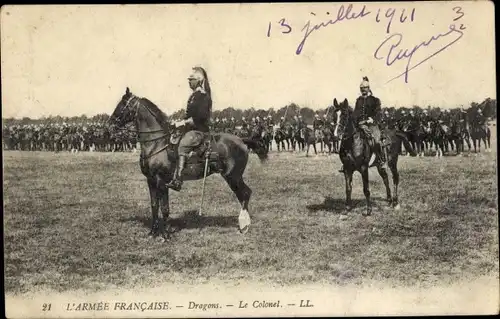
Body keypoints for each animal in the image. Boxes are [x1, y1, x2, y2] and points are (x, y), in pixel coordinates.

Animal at [107, 87, 268, 240]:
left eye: (123, 105)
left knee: (245, 193)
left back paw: (244, 224)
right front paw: (153, 232)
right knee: (243, 195)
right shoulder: (150, 180)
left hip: (233, 176)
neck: (157, 143)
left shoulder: (161, 181)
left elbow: (164, 208)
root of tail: (242, 140)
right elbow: (154, 206)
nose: (109, 125)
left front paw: (165, 235)